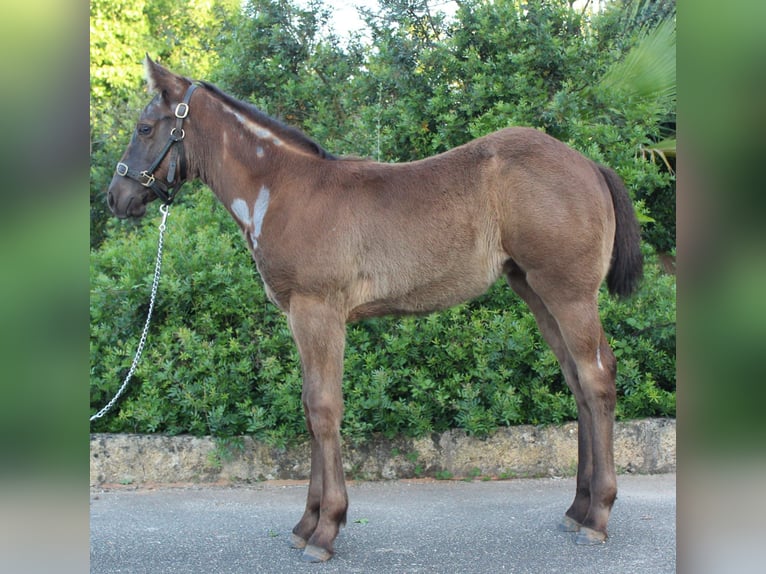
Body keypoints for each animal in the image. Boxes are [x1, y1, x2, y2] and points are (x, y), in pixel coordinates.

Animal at [106, 56, 643, 563]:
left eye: (145, 128)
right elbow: (309, 407)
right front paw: (305, 525)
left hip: (568, 293)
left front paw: (326, 530)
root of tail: (590, 165)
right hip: (535, 290)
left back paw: (598, 515)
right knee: (577, 381)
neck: (284, 190)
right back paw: (576, 509)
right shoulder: (300, 317)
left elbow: (324, 409)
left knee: (596, 379)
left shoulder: (318, 311)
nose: (116, 197)